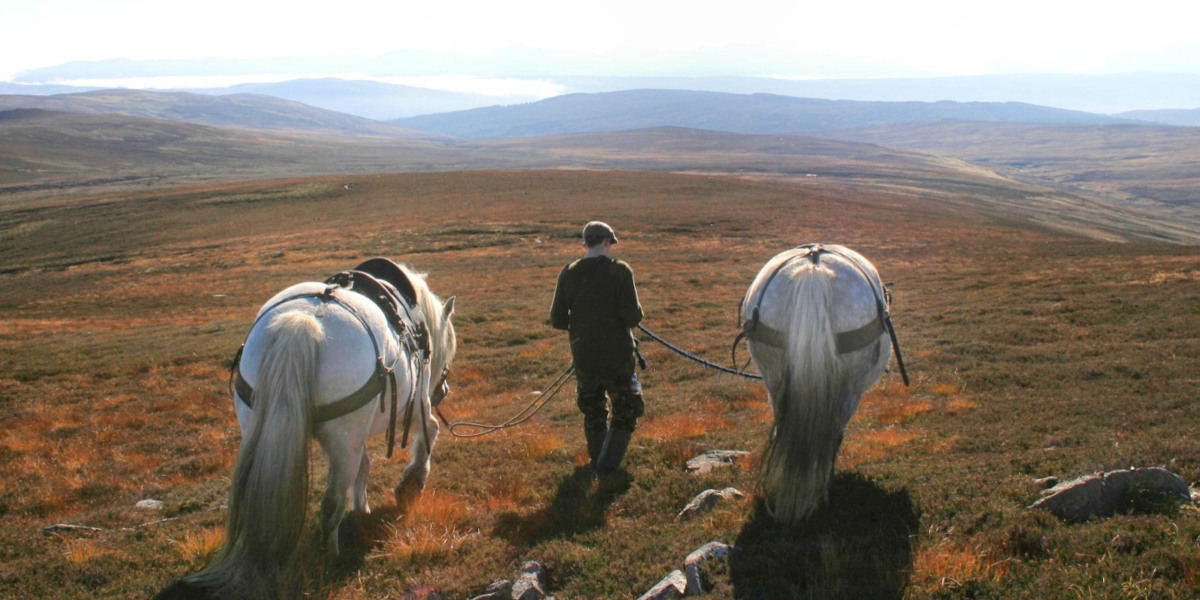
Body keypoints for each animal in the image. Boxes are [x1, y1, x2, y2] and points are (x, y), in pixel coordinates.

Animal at [185, 259, 456, 599]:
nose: (443, 389)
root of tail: (303, 321)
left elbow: (364, 465)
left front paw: (362, 508)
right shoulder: (414, 404)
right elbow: (430, 431)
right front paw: (411, 484)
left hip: (265, 424)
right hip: (346, 436)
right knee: (331, 502)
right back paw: (331, 556)